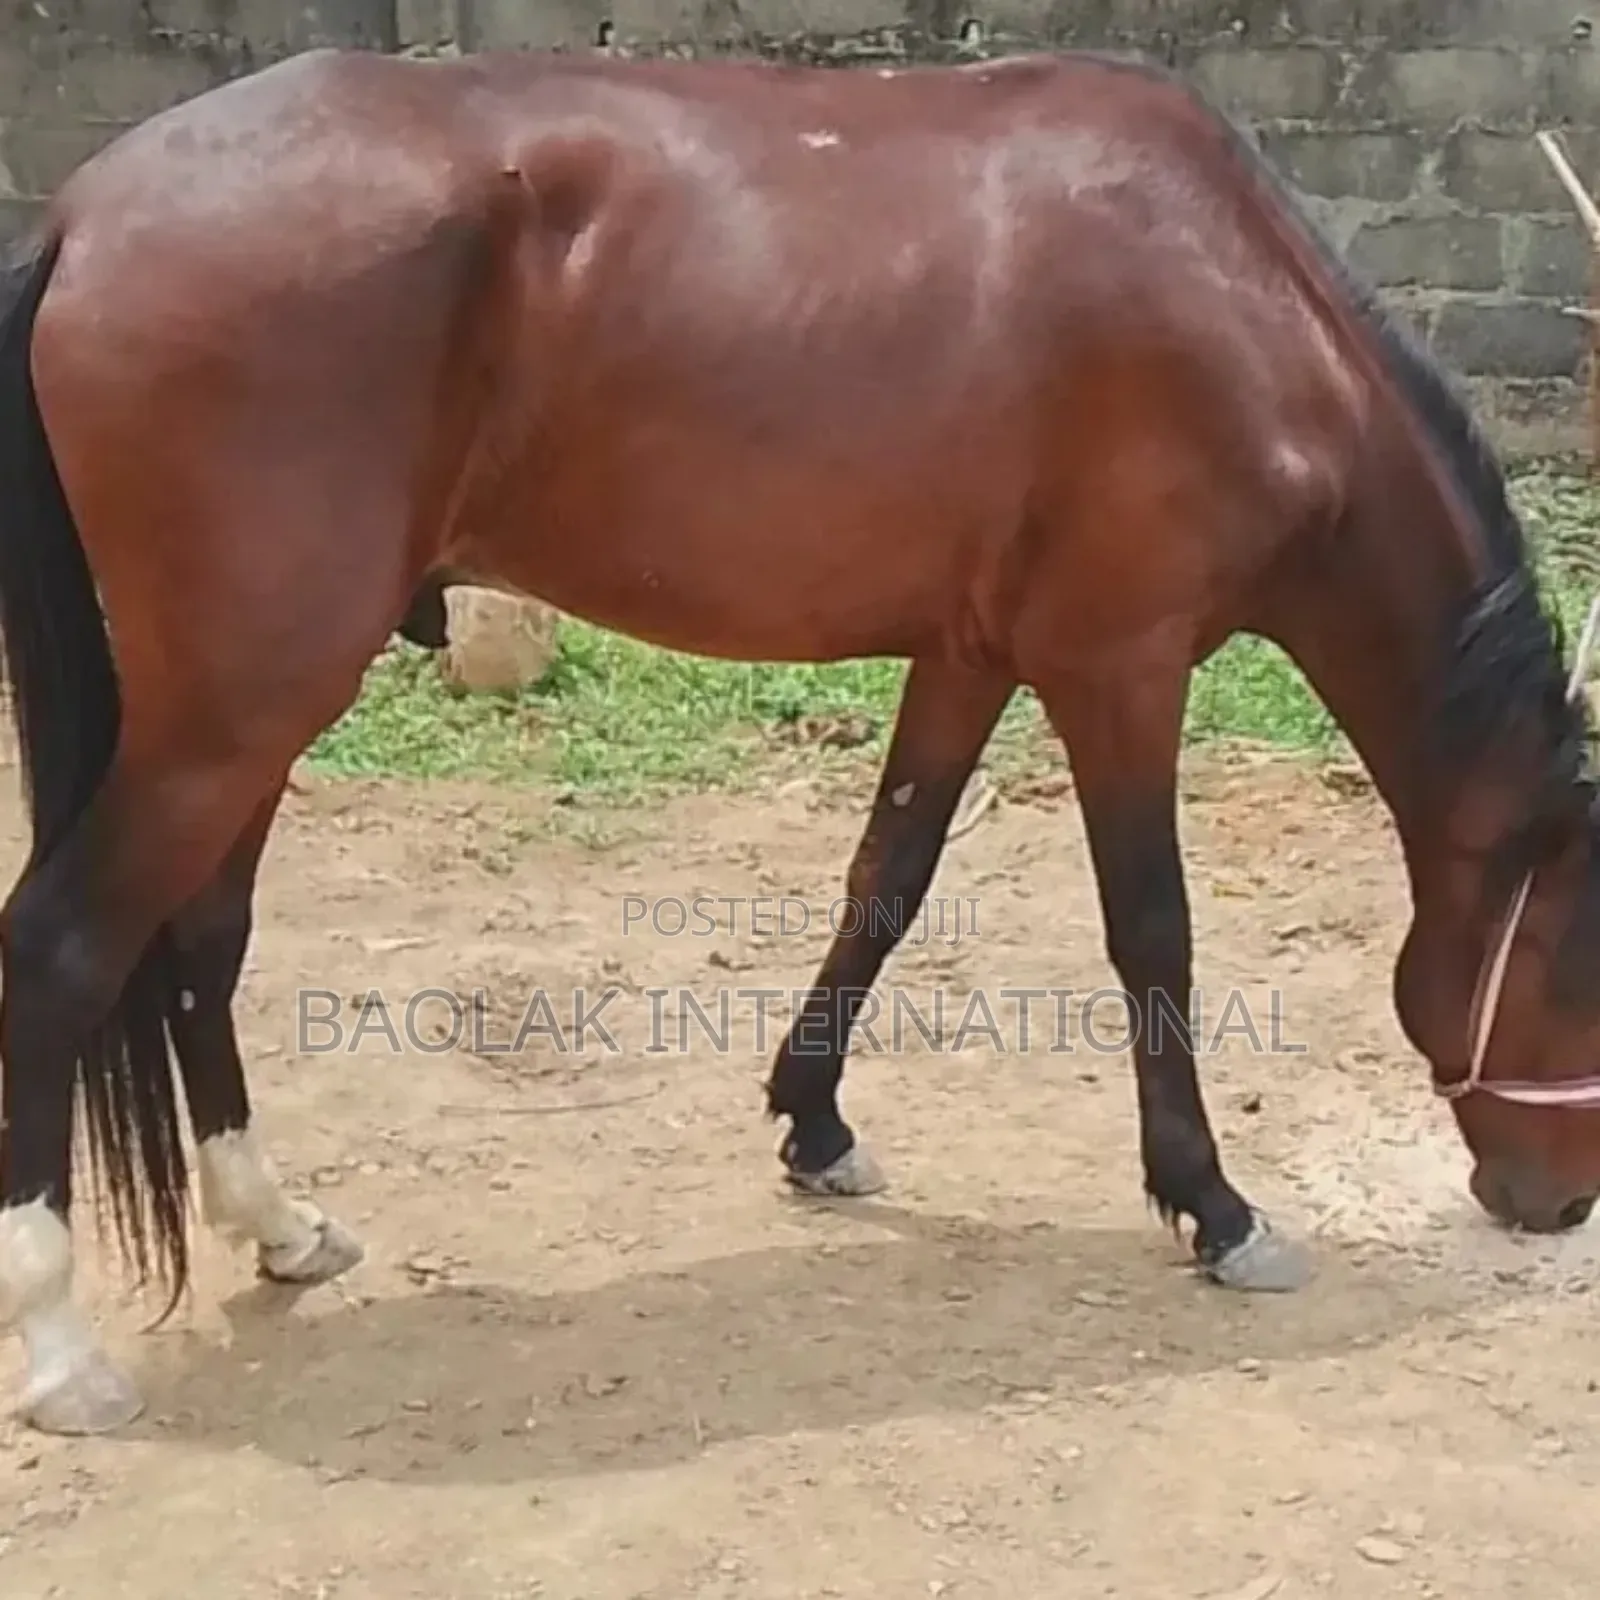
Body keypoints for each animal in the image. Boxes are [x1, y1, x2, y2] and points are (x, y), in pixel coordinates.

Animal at [3, 43, 1600, 1439]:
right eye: (1577, 972)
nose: (1560, 1200)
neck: (1236, 304)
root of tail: (85, 216)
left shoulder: (967, 656)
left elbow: (885, 880)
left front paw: (814, 1122)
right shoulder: (1121, 669)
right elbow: (1154, 932)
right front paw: (1216, 1208)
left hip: (247, 716)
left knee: (200, 941)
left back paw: (277, 1224)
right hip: (238, 706)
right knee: (67, 949)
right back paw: (61, 1347)